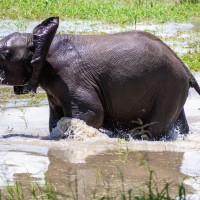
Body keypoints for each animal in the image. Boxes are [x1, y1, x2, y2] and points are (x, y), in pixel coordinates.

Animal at [0, 16, 200, 139]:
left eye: (4, 53)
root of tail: (185, 68)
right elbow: (55, 120)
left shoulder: (70, 77)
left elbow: (91, 114)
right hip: (174, 89)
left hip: (169, 88)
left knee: (156, 128)